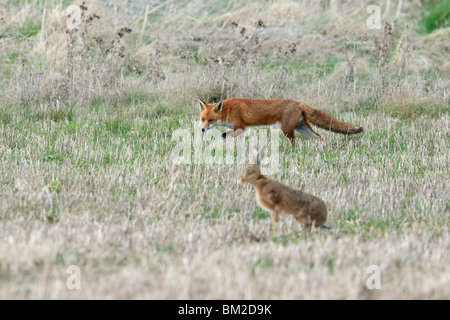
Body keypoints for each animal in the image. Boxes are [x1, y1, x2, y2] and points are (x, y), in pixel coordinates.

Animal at [199, 97, 364, 142]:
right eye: (202, 119)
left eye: (211, 120)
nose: (202, 129)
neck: (228, 110)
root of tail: (297, 102)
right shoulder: (239, 130)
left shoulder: (240, 127)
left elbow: (223, 135)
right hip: (301, 127)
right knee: (319, 136)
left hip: (286, 130)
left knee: (295, 142)